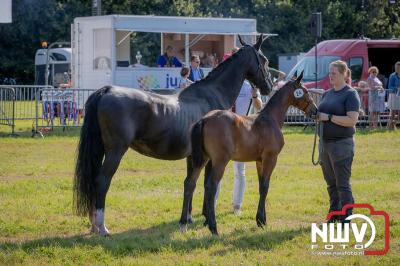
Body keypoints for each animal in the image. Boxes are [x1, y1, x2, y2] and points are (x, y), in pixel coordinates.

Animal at [73, 34, 274, 236]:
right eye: (264, 60)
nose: (268, 87)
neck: (210, 94)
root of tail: (106, 91)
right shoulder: (210, 158)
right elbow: (206, 184)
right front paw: (206, 219)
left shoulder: (193, 156)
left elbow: (191, 184)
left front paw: (189, 218)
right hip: (115, 151)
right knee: (102, 181)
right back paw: (102, 227)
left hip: (100, 149)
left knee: (93, 182)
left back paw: (93, 225)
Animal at [180, 71, 318, 235]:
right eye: (305, 92)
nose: (315, 111)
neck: (270, 119)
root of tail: (204, 119)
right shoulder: (270, 158)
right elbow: (265, 186)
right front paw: (261, 220)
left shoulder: (259, 161)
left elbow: (261, 186)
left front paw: (261, 219)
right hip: (219, 161)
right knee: (210, 186)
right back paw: (213, 228)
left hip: (202, 159)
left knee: (190, 183)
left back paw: (183, 223)